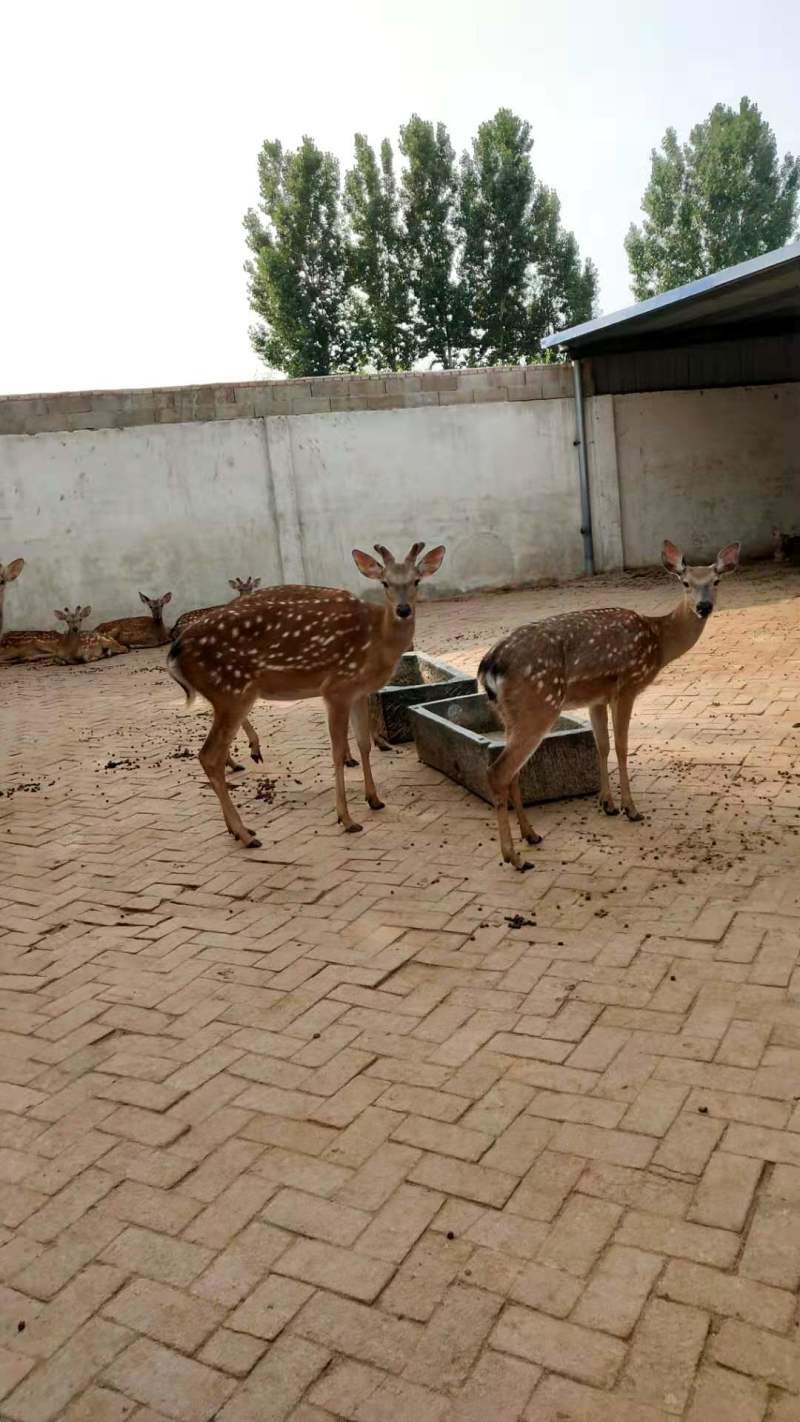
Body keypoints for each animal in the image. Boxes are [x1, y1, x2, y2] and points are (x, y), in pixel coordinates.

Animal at [167, 541, 446, 847]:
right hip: (232, 690)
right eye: (385, 582)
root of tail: (175, 650)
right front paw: (346, 819)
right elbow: (337, 751)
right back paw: (246, 833)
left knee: (211, 752)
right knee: (209, 756)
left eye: (416, 580)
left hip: (226, 694)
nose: (404, 610)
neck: (378, 641)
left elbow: (364, 743)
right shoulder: (336, 687)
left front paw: (374, 799)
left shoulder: (359, 691)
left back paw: (238, 828)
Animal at [477, 540, 740, 870]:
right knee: (497, 771)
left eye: (716, 581)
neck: (659, 641)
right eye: (685, 583)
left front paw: (608, 804)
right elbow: (622, 747)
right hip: (538, 707)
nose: (704, 607)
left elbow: (601, 745)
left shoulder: (597, 697)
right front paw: (631, 809)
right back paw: (514, 857)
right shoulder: (626, 686)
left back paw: (532, 835)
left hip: (510, 715)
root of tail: (489, 666)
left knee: (511, 770)